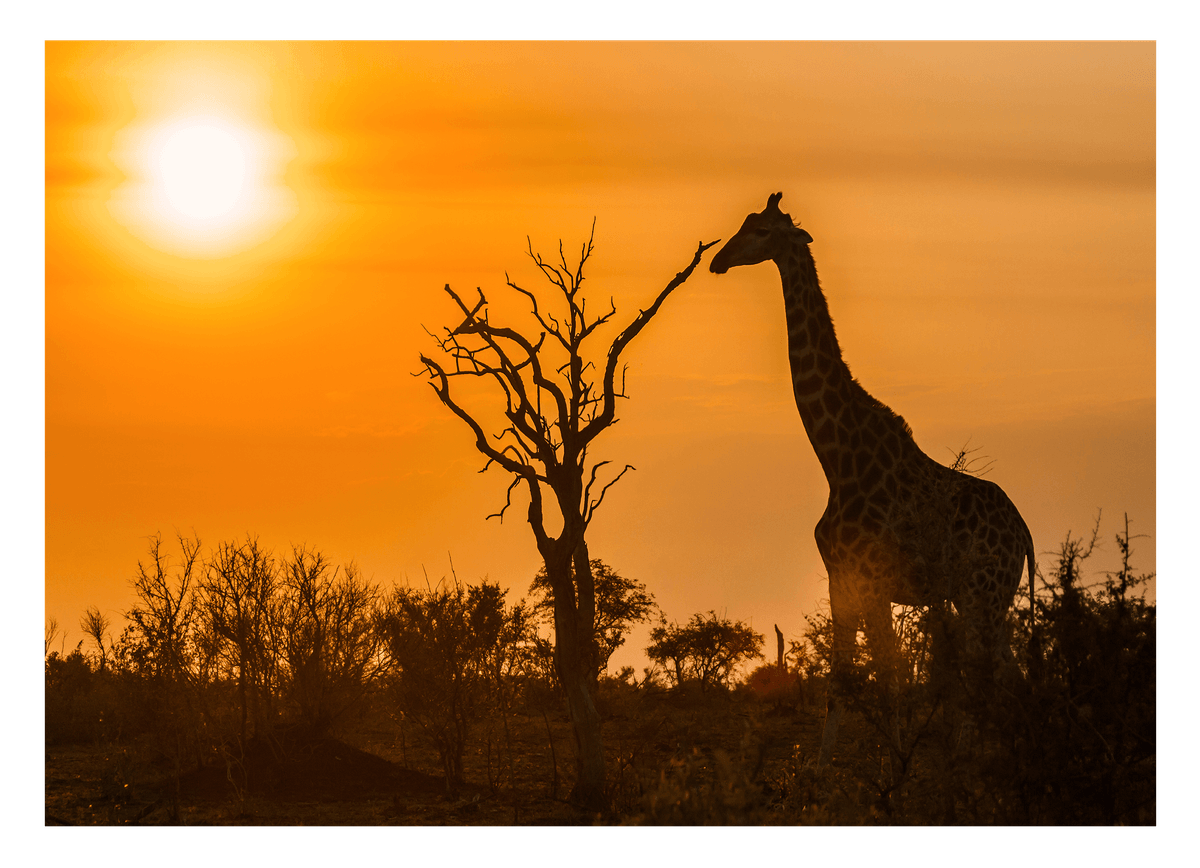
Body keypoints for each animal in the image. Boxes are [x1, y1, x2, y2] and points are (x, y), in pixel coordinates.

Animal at [710, 192, 1035, 766]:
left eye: (763, 232)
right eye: (744, 223)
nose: (718, 260)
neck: (837, 458)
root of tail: (1023, 531)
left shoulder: (877, 578)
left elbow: (889, 676)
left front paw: (895, 763)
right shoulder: (841, 576)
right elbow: (843, 677)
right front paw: (820, 767)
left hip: (984, 594)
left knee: (989, 677)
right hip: (979, 595)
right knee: (1007, 675)